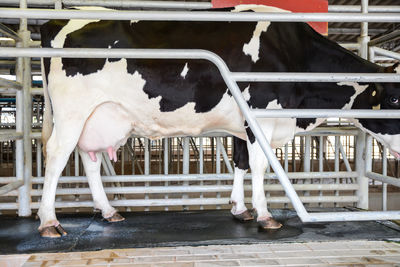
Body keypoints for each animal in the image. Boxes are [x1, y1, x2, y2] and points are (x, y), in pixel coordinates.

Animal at [38, 5, 400, 238]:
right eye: (394, 99)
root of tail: (56, 21)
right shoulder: (260, 115)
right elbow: (259, 165)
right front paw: (265, 214)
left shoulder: (243, 124)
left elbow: (240, 162)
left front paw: (240, 209)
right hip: (73, 111)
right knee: (56, 155)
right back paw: (49, 221)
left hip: (96, 116)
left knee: (88, 159)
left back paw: (108, 210)